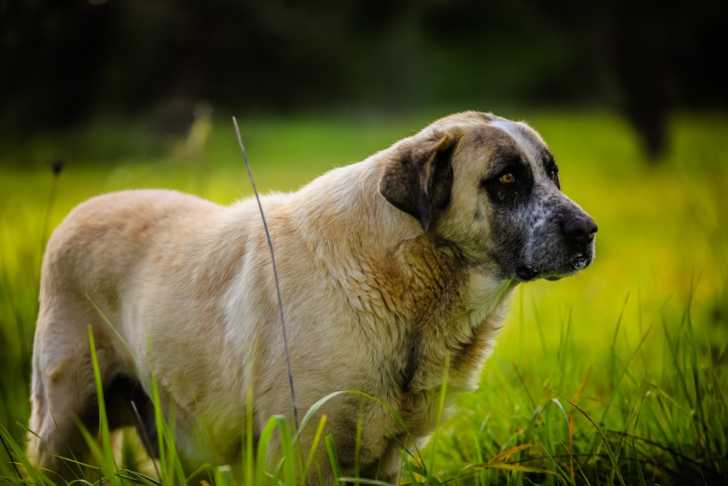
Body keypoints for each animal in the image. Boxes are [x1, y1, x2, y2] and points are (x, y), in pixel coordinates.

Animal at [27, 111, 597, 482]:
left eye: (552, 172)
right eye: (507, 179)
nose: (588, 231)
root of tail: (78, 213)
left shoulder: (383, 460)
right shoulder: (300, 447)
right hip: (65, 423)